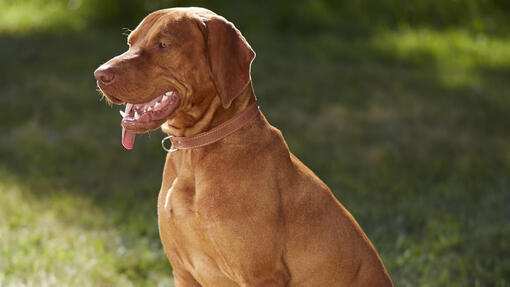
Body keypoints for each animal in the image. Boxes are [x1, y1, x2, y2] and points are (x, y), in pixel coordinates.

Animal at [93, 7, 392, 287]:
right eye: (130, 42)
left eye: (164, 44)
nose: (99, 75)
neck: (195, 153)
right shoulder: (182, 272)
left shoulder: (262, 275)